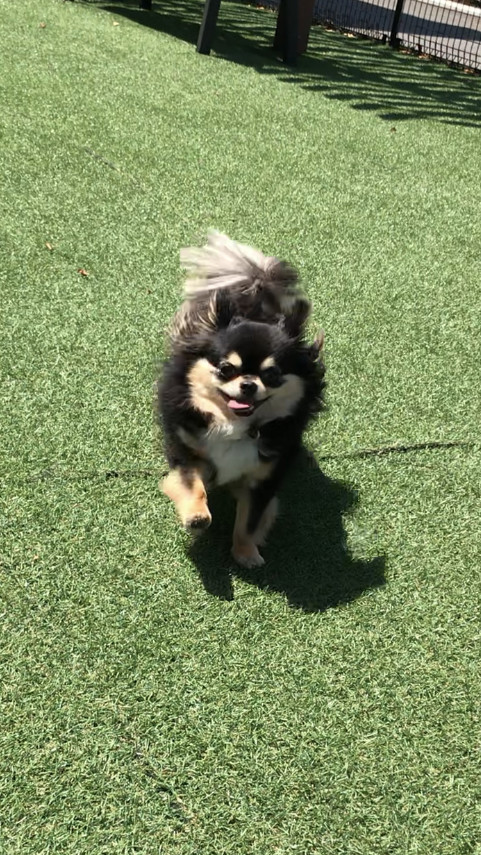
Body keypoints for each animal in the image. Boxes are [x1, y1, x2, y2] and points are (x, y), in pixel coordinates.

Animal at [158, 231, 325, 568]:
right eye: (226, 369)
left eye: (272, 374)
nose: (248, 384)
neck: (234, 424)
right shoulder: (186, 450)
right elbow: (190, 483)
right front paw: (196, 515)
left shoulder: (263, 479)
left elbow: (249, 521)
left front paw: (245, 552)